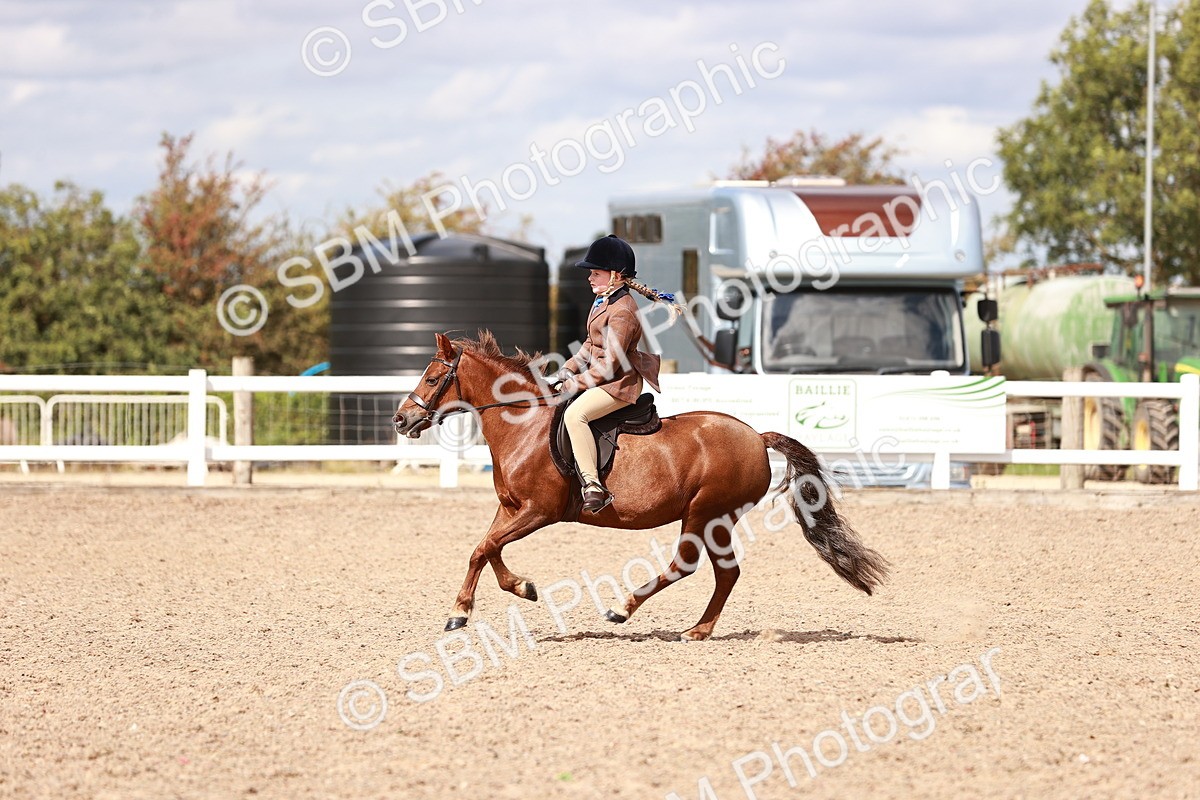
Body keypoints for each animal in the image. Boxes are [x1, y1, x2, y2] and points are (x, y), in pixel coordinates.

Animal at [392, 331, 889, 641]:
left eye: (433, 378)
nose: (400, 419)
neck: (524, 425)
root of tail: (755, 435)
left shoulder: (538, 511)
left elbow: (483, 548)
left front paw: (459, 614)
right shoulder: (511, 509)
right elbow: (486, 549)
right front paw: (521, 588)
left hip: (704, 513)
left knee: (688, 566)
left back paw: (626, 609)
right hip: (715, 519)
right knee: (725, 573)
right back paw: (698, 629)